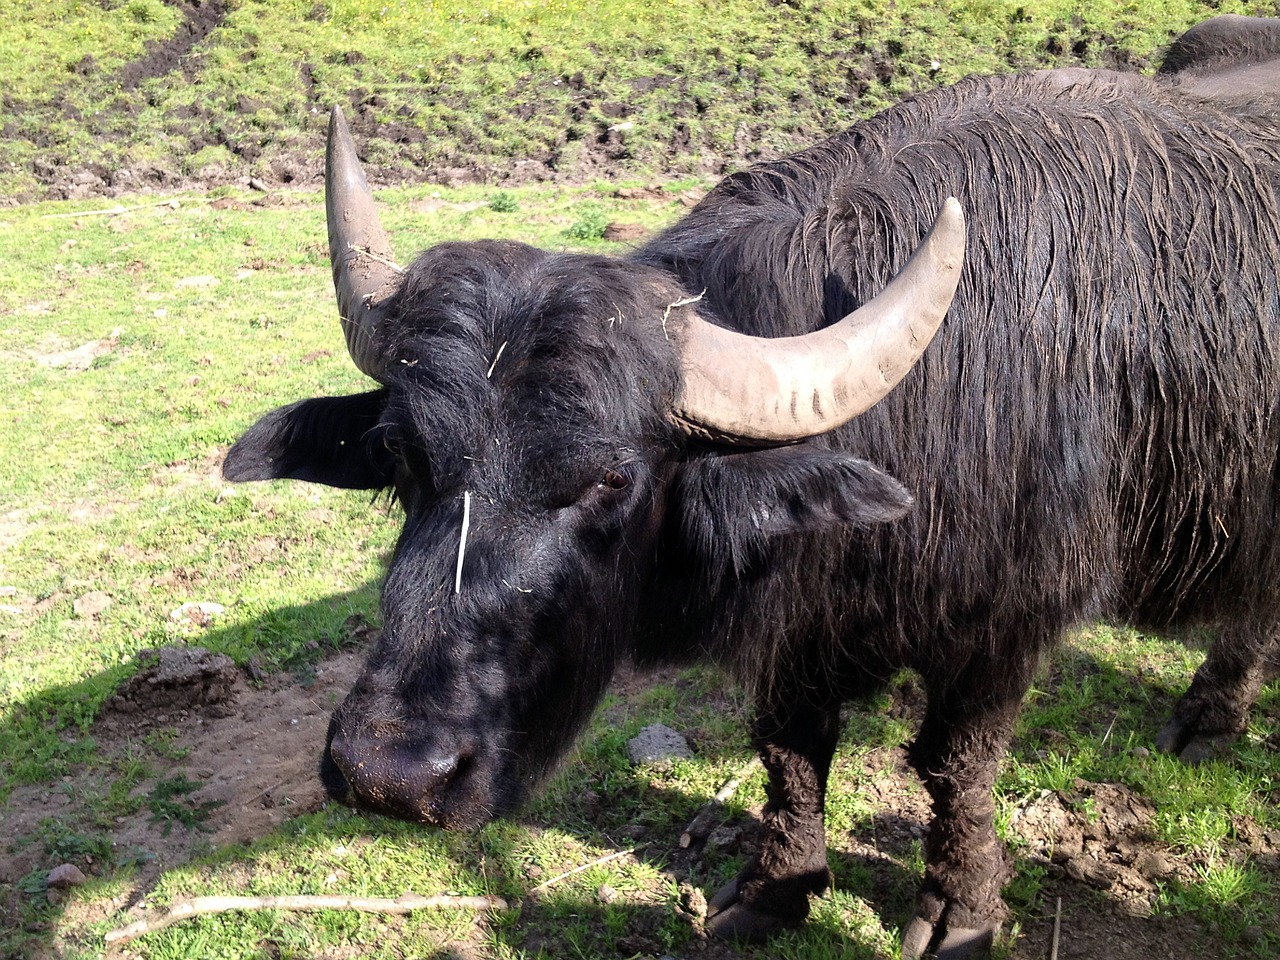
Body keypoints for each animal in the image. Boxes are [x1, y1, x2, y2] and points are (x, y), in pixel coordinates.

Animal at [220, 45, 1280, 960]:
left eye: (611, 479)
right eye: (401, 457)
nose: (388, 777)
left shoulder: (1004, 623)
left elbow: (955, 766)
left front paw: (962, 911)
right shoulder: (799, 622)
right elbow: (791, 749)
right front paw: (778, 889)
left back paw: (1207, 716)